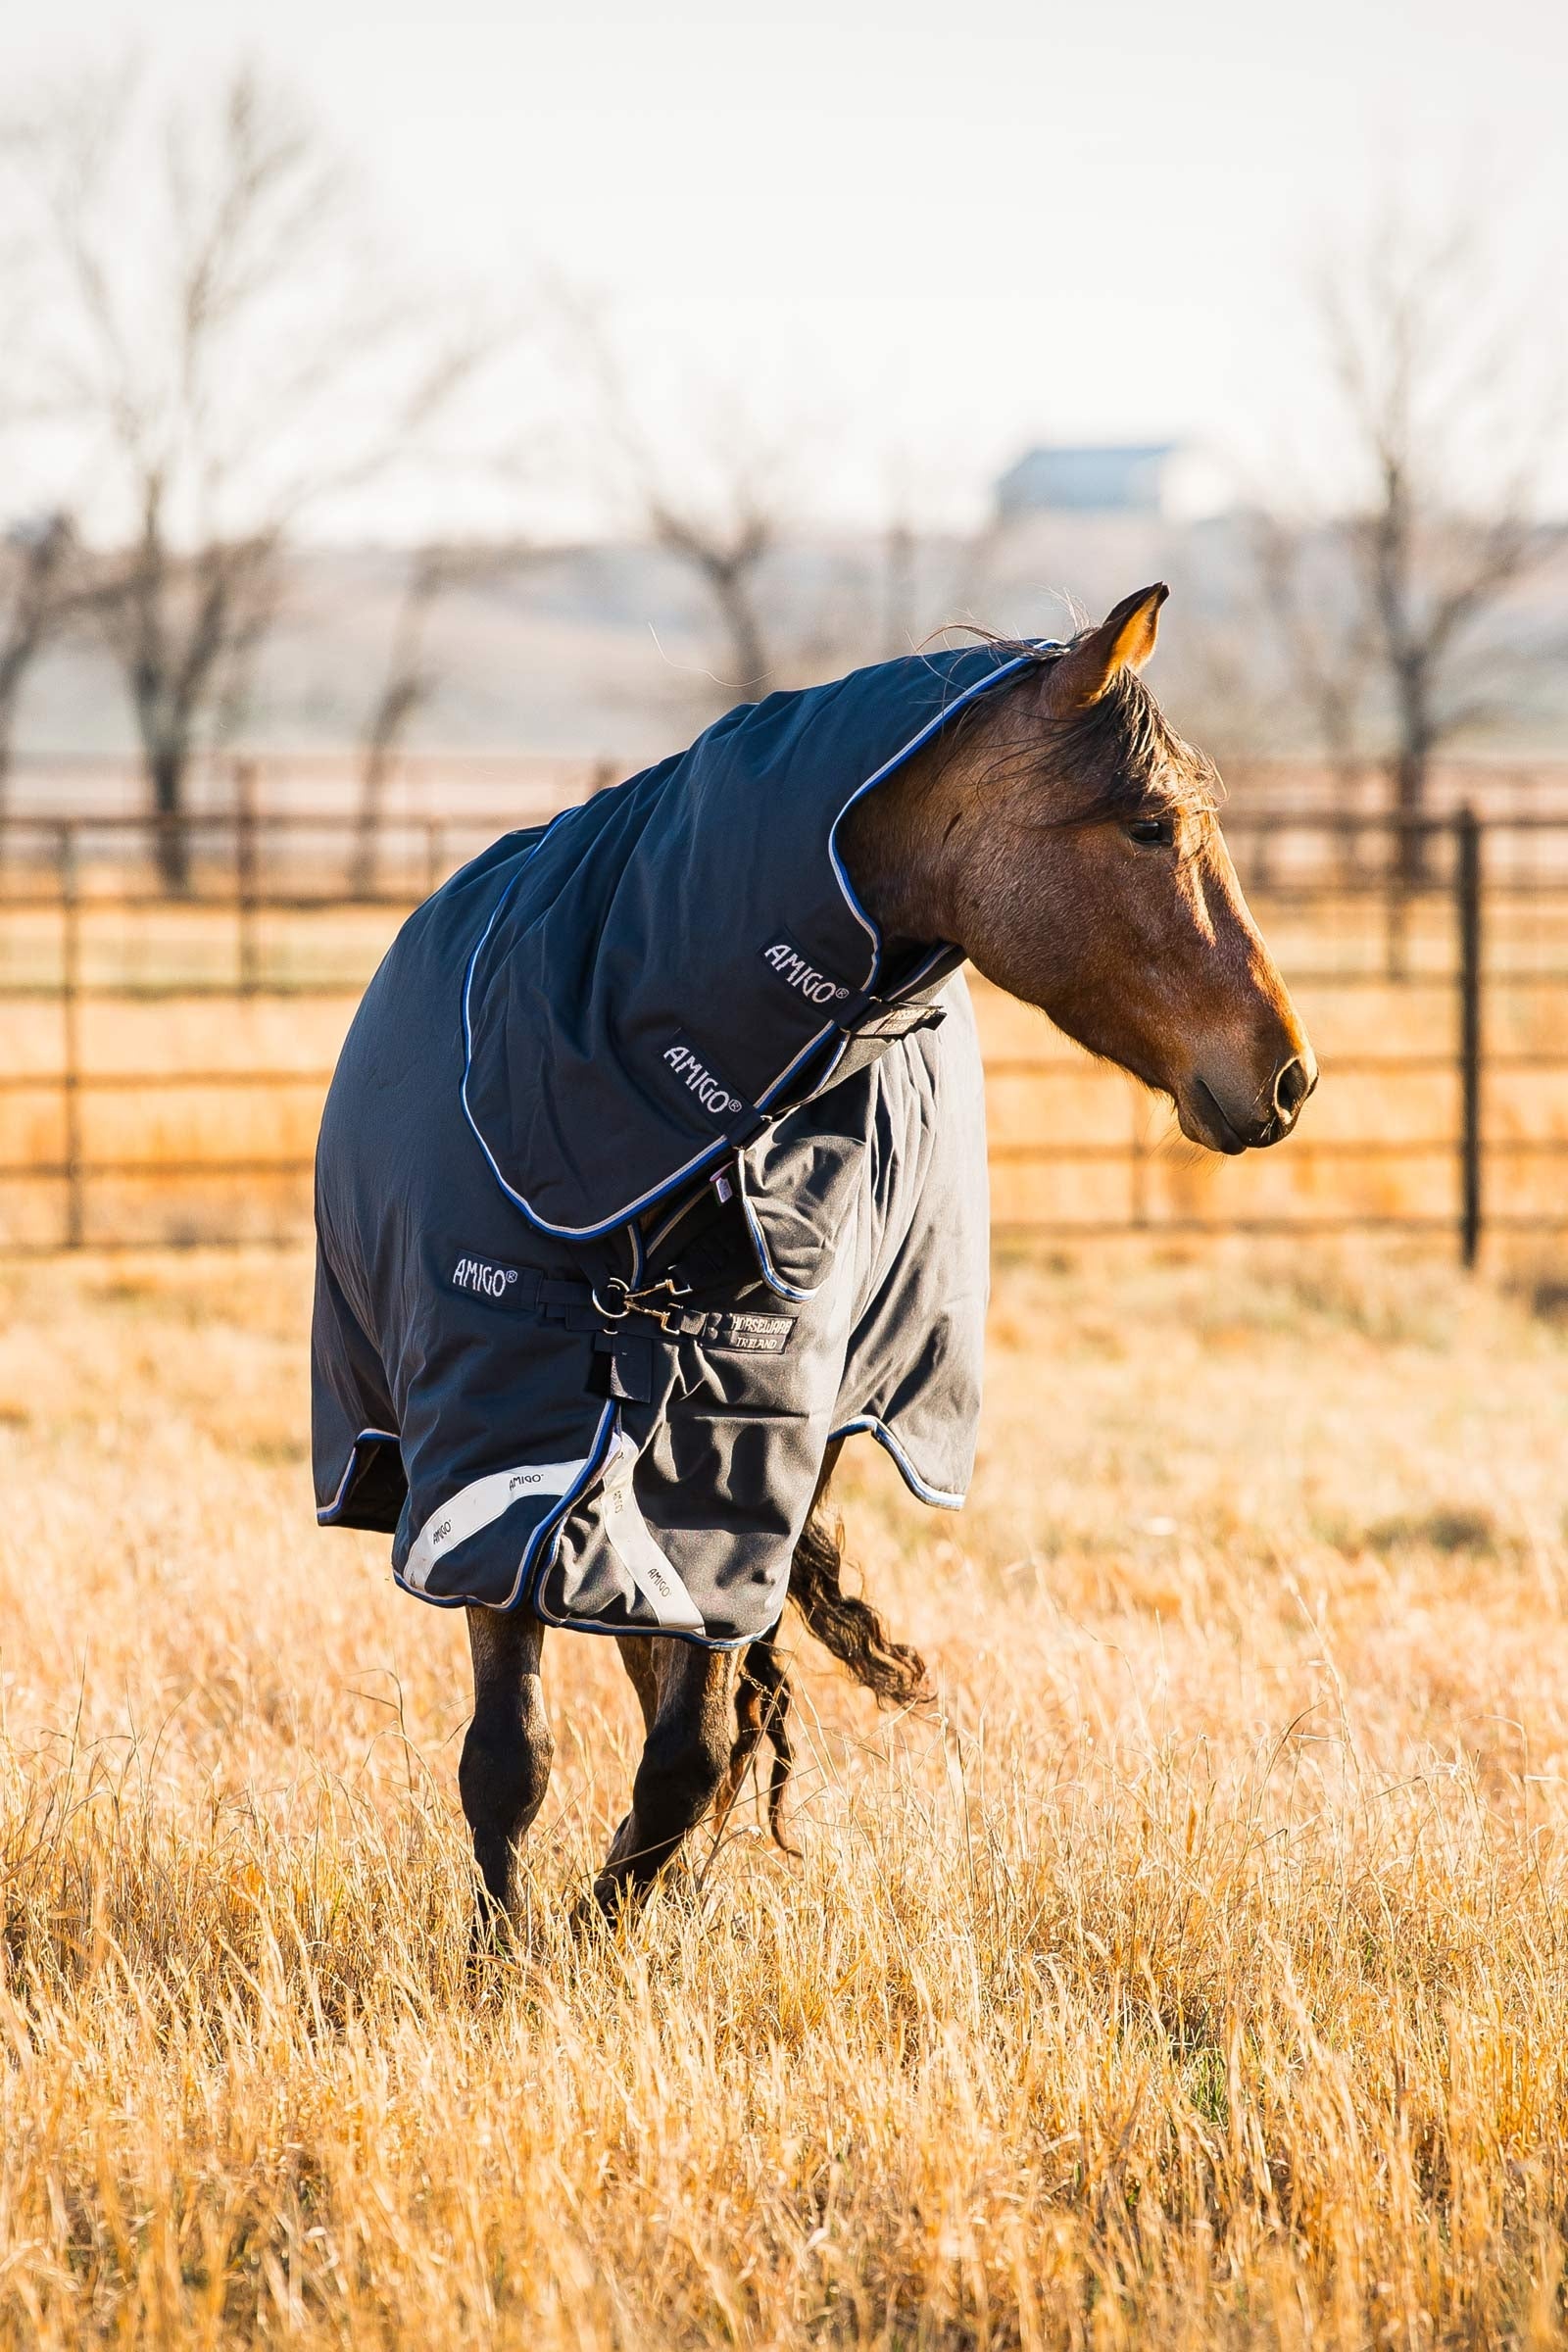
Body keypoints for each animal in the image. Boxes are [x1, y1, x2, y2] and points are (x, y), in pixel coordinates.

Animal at [310, 582, 1315, 1927]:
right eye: (1151, 825)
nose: (1287, 1073)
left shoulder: (734, 1472)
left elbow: (686, 1755)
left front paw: (601, 1934)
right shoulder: (484, 1454)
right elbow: (508, 1757)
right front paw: (504, 1951)